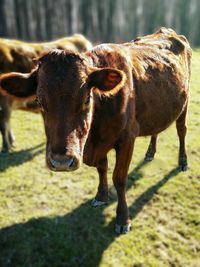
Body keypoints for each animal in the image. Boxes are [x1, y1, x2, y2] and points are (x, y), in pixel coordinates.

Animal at [0, 28, 191, 234]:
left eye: (86, 98)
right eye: (39, 102)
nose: (61, 162)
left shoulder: (127, 138)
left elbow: (119, 178)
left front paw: (122, 219)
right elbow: (102, 168)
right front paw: (101, 196)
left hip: (185, 103)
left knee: (182, 131)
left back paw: (182, 162)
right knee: (156, 130)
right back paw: (150, 153)